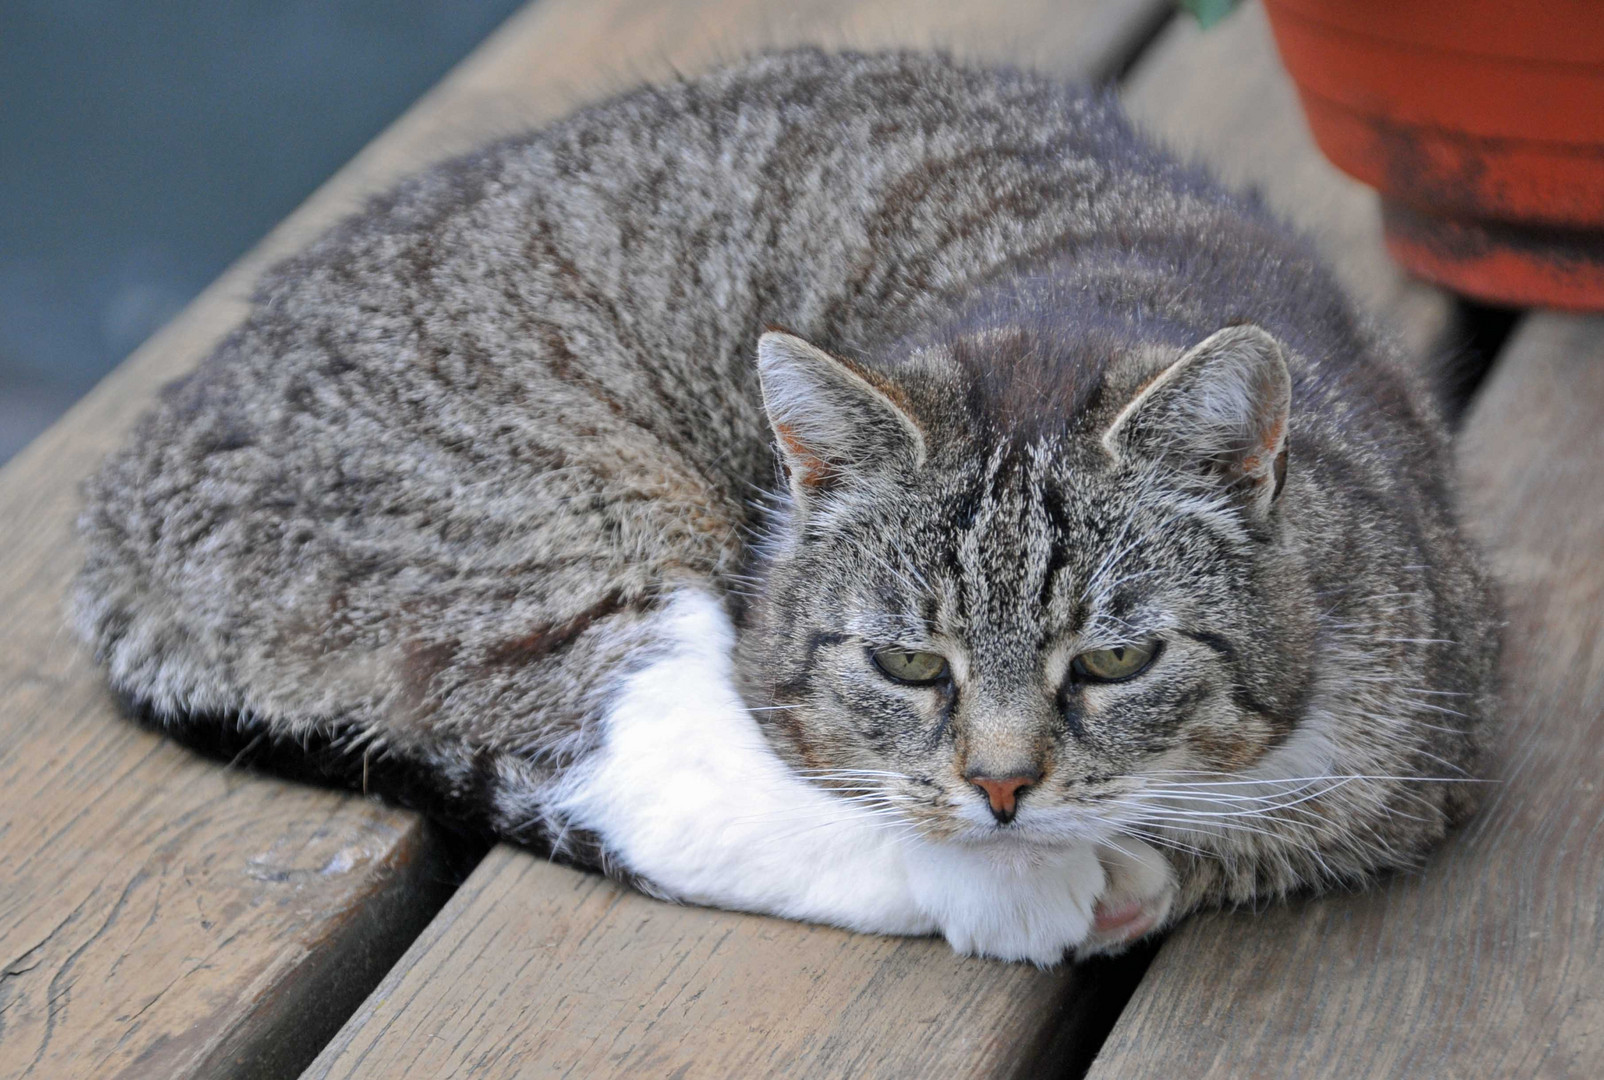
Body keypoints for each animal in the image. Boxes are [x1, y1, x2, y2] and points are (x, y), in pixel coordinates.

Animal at [72, 46, 1501, 962]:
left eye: (1113, 661)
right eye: (907, 664)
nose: (1000, 790)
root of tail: (122, 487)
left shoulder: (1425, 741)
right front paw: (1038, 872)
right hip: (537, 537)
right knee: (659, 768)